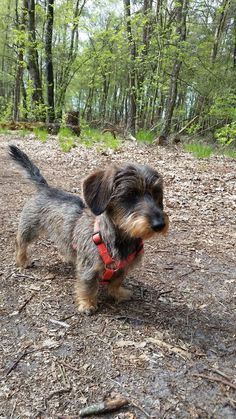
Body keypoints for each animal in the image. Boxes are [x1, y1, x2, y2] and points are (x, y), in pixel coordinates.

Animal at [8, 146, 169, 314]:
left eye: (157, 193)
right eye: (130, 195)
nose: (159, 224)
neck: (118, 239)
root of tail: (46, 189)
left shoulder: (122, 268)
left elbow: (116, 281)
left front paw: (118, 293)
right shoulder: (88, 269)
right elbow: (88, 287)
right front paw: (87, 304)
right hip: (29, 228)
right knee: (20, 243)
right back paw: (22, 260)